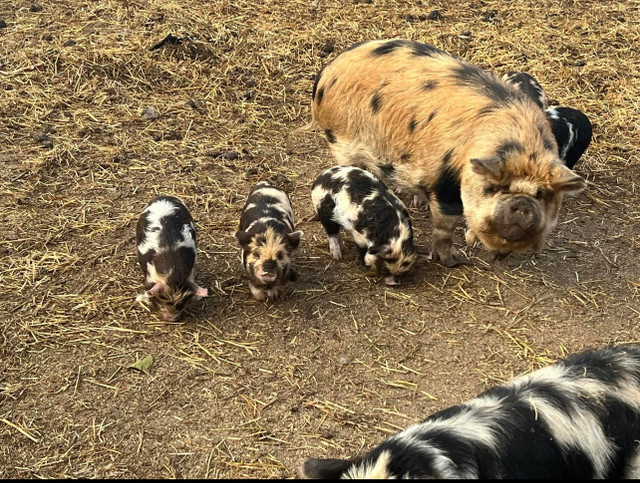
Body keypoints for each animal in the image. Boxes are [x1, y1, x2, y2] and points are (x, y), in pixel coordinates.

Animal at [136, 195, 209, 324]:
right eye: (162, 299)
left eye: (182, 303)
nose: (172, 319)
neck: (172, 276)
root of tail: (164, 197)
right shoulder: (150, 275)